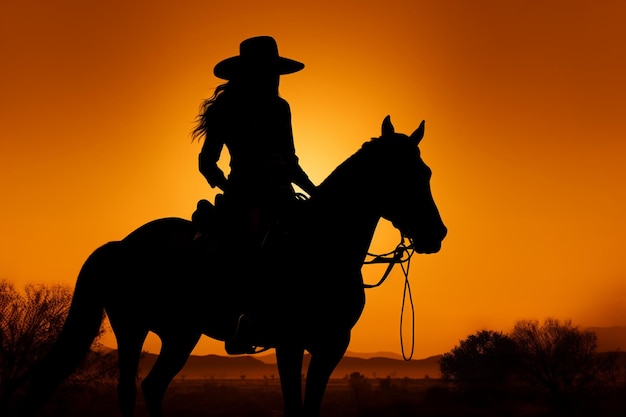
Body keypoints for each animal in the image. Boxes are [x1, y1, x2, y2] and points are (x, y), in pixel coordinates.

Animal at [19, 116, 446, 416]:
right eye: (401, 174)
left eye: (426, 173)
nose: (435, 234)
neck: (320, 247)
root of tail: (120, 245)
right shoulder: (289, 342)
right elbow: (294, 409)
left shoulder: (332, 345)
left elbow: (310, 410)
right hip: (132, 327)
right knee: (126, 391)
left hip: (179, 334)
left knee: (152, 386)